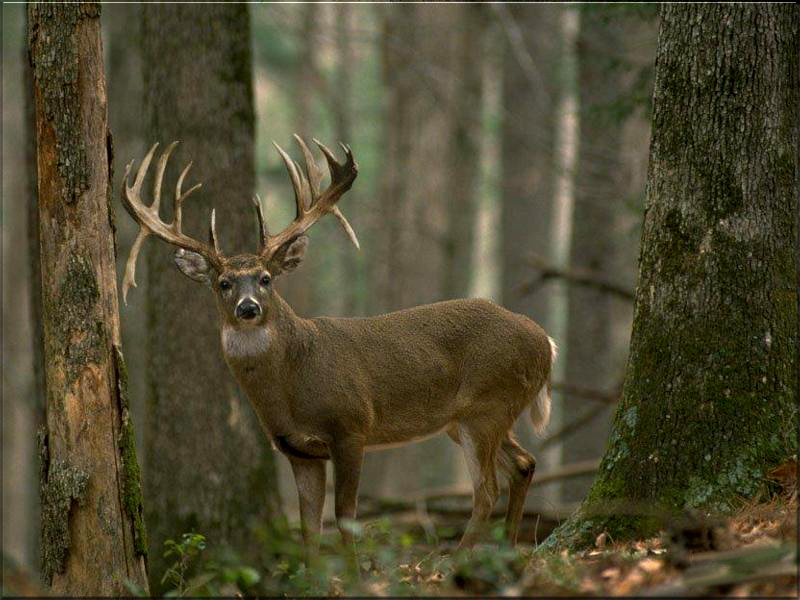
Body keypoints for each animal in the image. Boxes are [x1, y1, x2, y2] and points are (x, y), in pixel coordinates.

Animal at [120, 135, 557, 558]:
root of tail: (546, 343)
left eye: (265, 279)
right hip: (469, 418)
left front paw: (354, 572)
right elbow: (308, 530)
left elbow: (345, 516)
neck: (293, 383)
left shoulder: (351, 426)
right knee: (524, 464)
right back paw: (509, 551)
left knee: (487, 490)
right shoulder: (297, 450)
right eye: (223, 283)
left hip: (487, 405)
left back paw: (457, 562)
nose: (248, 308)